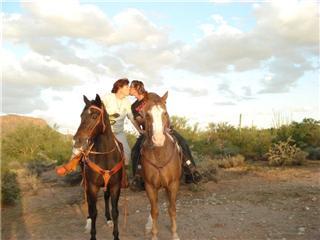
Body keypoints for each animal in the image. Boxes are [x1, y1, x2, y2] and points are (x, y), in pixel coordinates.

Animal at [73, 94, 124, 240]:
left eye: (95, 116)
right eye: (81, 116)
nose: (77, 140)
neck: (105, 155)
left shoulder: (115, 185)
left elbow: (115, 211)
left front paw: (116, 234)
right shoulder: (93, 186)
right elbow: (94, 211)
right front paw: (93, 235)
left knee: (106, 197)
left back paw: (108, 219)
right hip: (86, 182)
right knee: (89, 203)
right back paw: (88, 221)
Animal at [141, 92, 182, 240]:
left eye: (165, 113)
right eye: (147, 115)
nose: (158, 139)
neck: (160, 155)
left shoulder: (174, 184)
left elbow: (172, 209)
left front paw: (174, 233)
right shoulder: (150, 186)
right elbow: (154, 211)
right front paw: (154, 234)